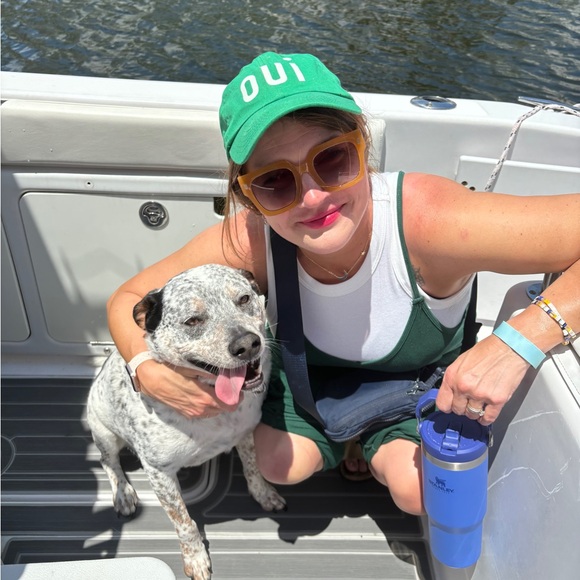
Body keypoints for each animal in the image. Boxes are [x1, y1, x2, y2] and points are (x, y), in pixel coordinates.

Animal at [87, 265, 286, 580]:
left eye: (244, 299)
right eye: (192, 320)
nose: (247, 344)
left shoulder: (246, 434)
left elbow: (253, 469)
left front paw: (264, 494)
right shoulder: (159, 473)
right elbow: (183, 522)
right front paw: (196, 558)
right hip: (103, 429)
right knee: (108, 462)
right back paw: (123, 494)